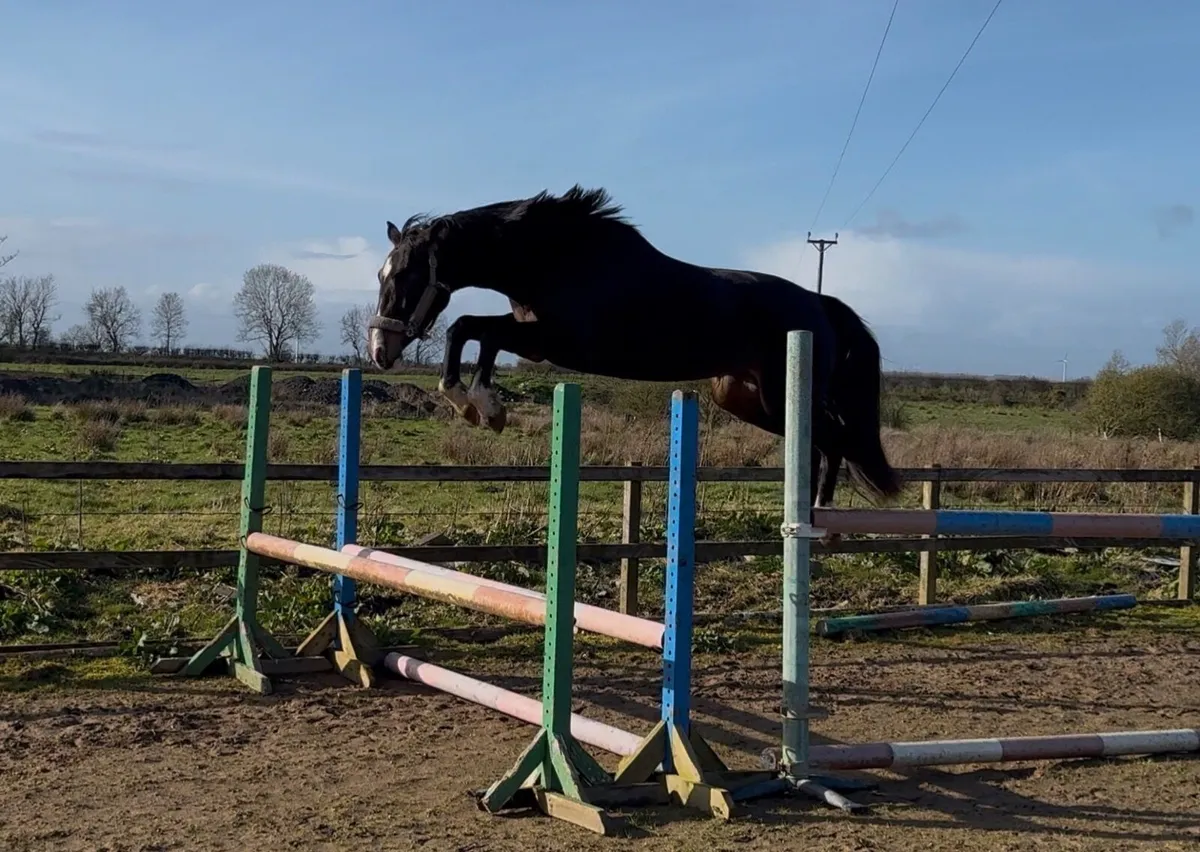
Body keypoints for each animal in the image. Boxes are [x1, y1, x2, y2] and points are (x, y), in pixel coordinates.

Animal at [367, 185, 901, 509]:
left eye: (408, 275)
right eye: (380, 274)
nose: (379, 350)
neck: (554, 257)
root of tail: (820, 303)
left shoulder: (557, 342)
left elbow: (466, 329)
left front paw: (473, 403)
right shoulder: (534, 342)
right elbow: (476, 333)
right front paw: (483, 407)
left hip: (778, 394)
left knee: (831, 439)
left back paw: (817, 513)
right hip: (742, 397)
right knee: (821, 440)